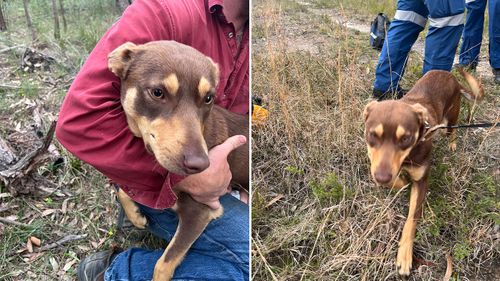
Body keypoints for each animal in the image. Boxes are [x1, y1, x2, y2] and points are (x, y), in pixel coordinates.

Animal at [109, 40, 250, 278]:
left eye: (208, 98)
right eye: (158, 92)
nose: (200, 165)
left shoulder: (200, 212)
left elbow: (163, 264)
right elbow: (125, 188)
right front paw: (136, 215)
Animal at [364, 69, 484, 274]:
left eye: (405, 138)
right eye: (373, 134)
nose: (381, 178)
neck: (408, 156)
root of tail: (451, 75)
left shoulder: (421, 182)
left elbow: (412, 219)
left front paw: (405, 255)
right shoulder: (376, 163)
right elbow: (394, 179)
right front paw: (401, 181)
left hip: (452, 116)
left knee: (452, 131)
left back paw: (452, 143)